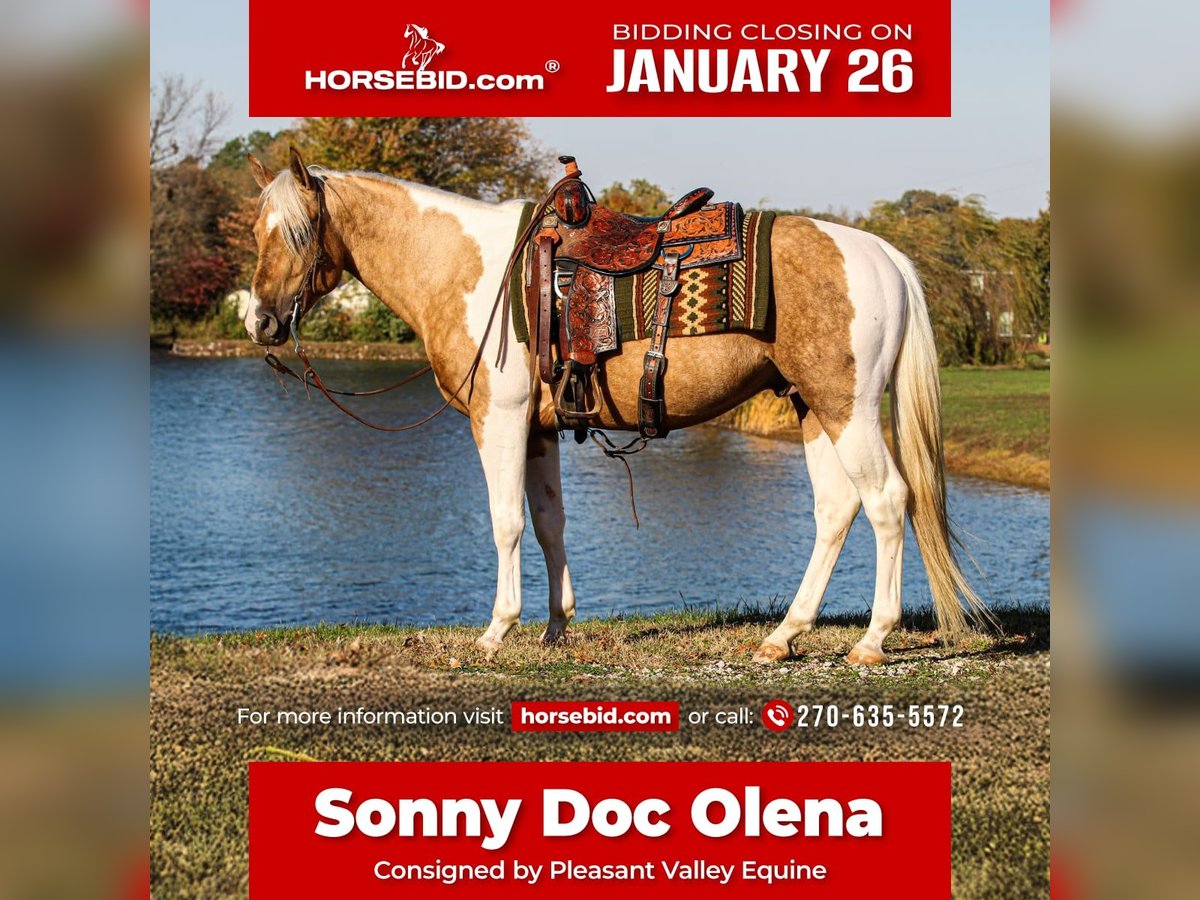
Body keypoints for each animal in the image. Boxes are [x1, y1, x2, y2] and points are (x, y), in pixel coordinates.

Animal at [243, 148, 991, 665]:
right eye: (257, 231)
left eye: (296, 233)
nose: (259, 322)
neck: (467, 270)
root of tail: (882, 253)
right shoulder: (539, 429)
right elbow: (550, 524)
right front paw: (555, 627)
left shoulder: (499, 419)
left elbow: (507, 523)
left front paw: (496, 631)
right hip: (813, 408)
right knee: (837, 510)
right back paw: (784, 636)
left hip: (848, 410)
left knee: (888, 502)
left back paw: (872, 640)